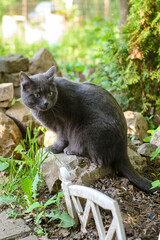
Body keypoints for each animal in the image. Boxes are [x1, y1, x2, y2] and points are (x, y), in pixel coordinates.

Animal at [20, 66, 159, 194]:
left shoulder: (63, 124)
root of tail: (123, 149)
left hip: (89, 130)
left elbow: (61, 139)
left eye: (50, 93)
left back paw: (71, 150)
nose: (46, 103)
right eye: (37, 95)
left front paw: (53, 148)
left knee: (99, 159)